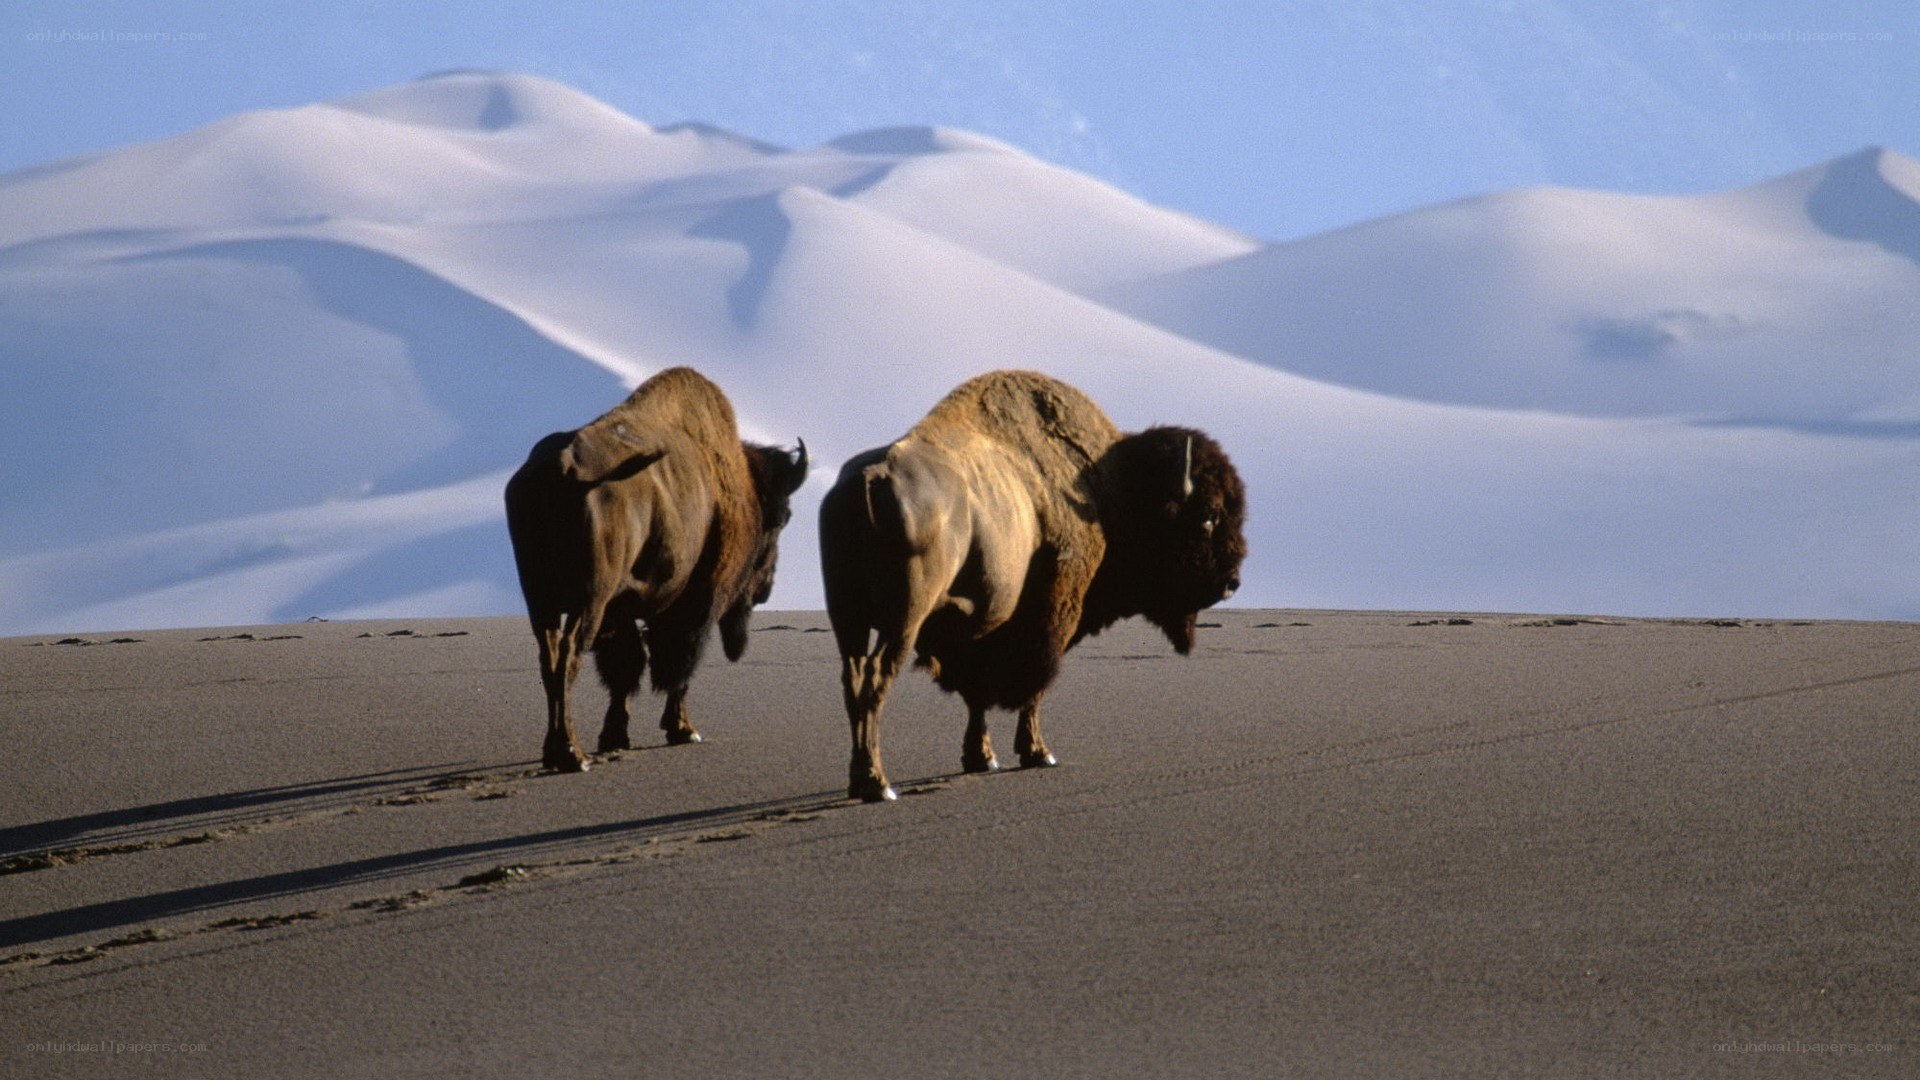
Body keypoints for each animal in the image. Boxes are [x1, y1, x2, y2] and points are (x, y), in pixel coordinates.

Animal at [505, 367, 808, 772]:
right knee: (569, 657)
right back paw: (572, 754)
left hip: (542, 601)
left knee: (550, 660)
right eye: (781, 519)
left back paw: (555, 750)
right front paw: (683, 730)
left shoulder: (620, 611)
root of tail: (566, 467)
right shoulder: (696, 604)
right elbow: (677, 664)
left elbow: (626, 668)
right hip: (588, 601)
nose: (765, 590)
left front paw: (615, 735)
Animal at [820, 370, 1246, 801]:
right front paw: (1038, 753)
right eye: (1208, 516)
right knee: (877, 677)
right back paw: (878, 784)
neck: (1107, 488)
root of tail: (871, 479)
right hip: (903, 618)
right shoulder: (1051, 618)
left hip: (847, 617)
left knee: (852, 678)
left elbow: (977, 694)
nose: (1231, 582)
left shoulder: (980, 628)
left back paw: (860, 778)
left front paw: (982, 758)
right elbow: (1033, 687)